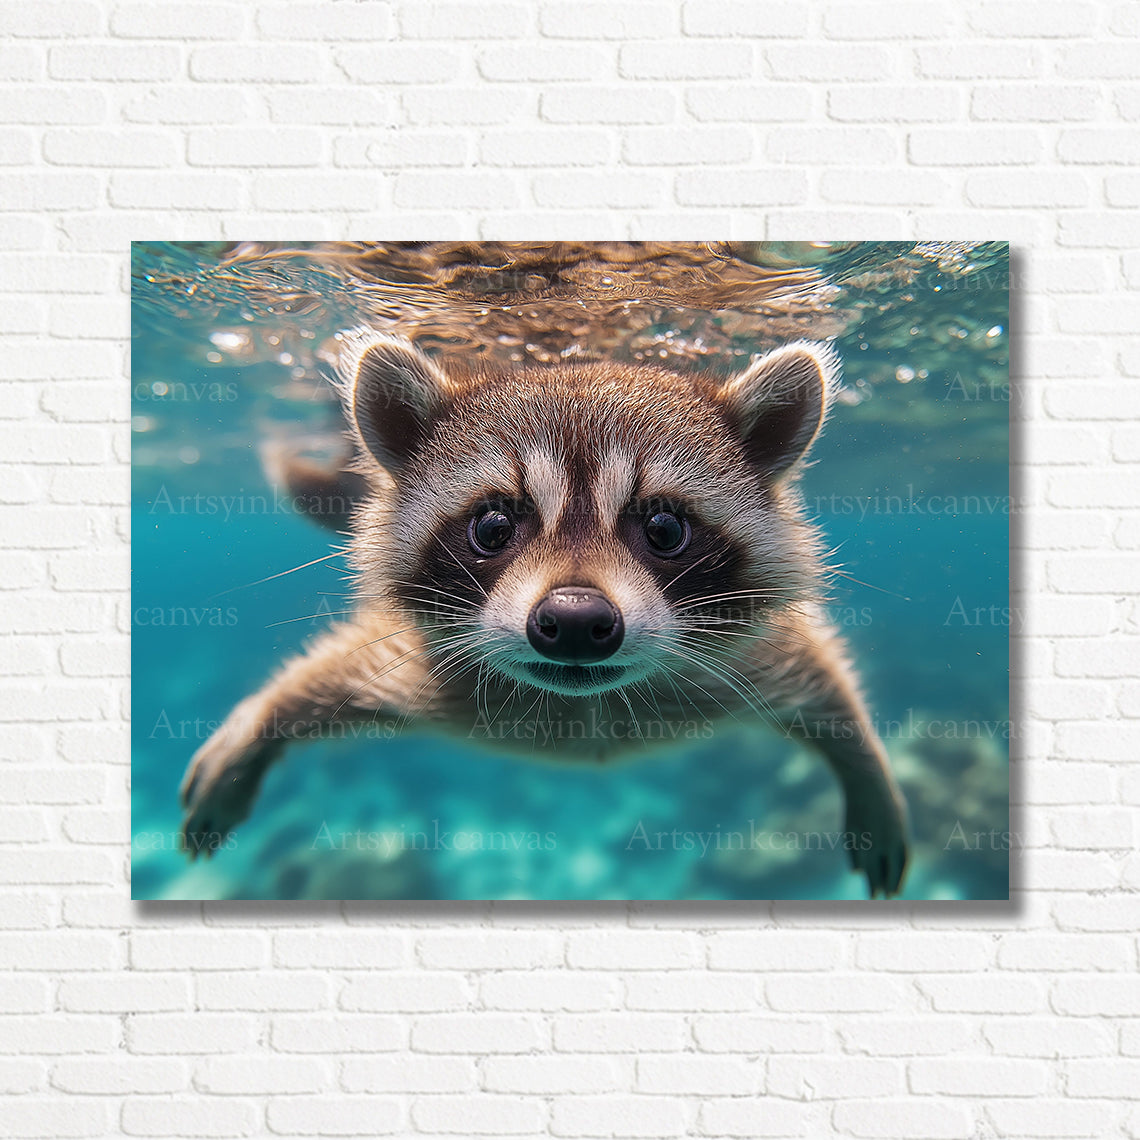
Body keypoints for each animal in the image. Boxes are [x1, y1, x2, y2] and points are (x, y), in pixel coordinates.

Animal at [180, 333, 909, 896]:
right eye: (494, 525)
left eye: (665, 527)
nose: (578, 620)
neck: (584, 706)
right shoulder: (432, 670)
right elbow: (333, 670)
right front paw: (260, 722)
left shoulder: (731, 660)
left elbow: (820, 677)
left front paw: (869, 770)